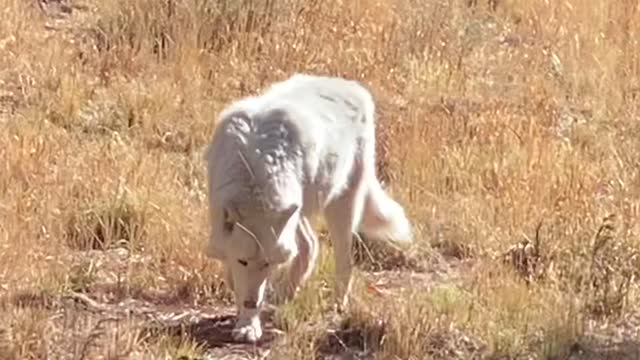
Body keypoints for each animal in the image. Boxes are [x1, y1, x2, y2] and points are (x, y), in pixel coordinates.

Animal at [205, 74, 416, 344]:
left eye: (267, 264)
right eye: (243, 261)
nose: (252, 302)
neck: (254, 172)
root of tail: (349, 85)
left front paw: (249, 324)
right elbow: (234, 276)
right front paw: (244, 314)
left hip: (340, 206)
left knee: (343, 259)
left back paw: (337, 305)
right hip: (300, 211)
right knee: (310, 245)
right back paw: (287, 293)